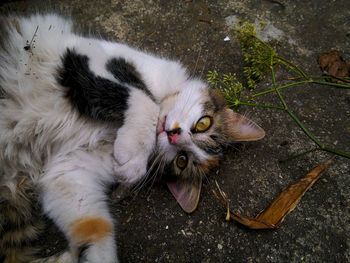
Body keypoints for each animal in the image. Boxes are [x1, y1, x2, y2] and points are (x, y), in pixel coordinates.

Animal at [0, 14, 264, 263]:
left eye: (181, 161)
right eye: (203, 124)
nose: (174, 135)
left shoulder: (68, 171)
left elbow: (94, 226)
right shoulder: (86, 53)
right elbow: (142, 97)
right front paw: (134, 151)